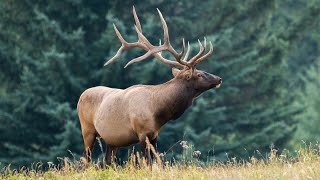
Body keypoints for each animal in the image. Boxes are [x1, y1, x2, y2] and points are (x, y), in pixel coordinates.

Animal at [77, 7, 222, 166]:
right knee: (85, 160)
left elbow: (155, 162)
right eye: (199, 74)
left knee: (107, 162)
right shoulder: (142, 133)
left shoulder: (154, 135)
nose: (219, 79)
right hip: (87, 130)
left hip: (111, 140)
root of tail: (81, 96)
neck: (159, 112)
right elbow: (148, 164)